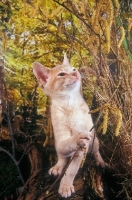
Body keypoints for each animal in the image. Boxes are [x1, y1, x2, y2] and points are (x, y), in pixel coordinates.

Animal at [32, 54, 106, 198]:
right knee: (62, 156)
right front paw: (76, 139)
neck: (69, 103)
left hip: (95, 141)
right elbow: (65, 146)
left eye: (74, 69)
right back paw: (57, 167)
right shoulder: (61, 137)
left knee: (96, 151)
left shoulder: (82, 148)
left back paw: (100, 162)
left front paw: (65, 185)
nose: (75, 73)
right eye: (61, 74)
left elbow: (71, 170)